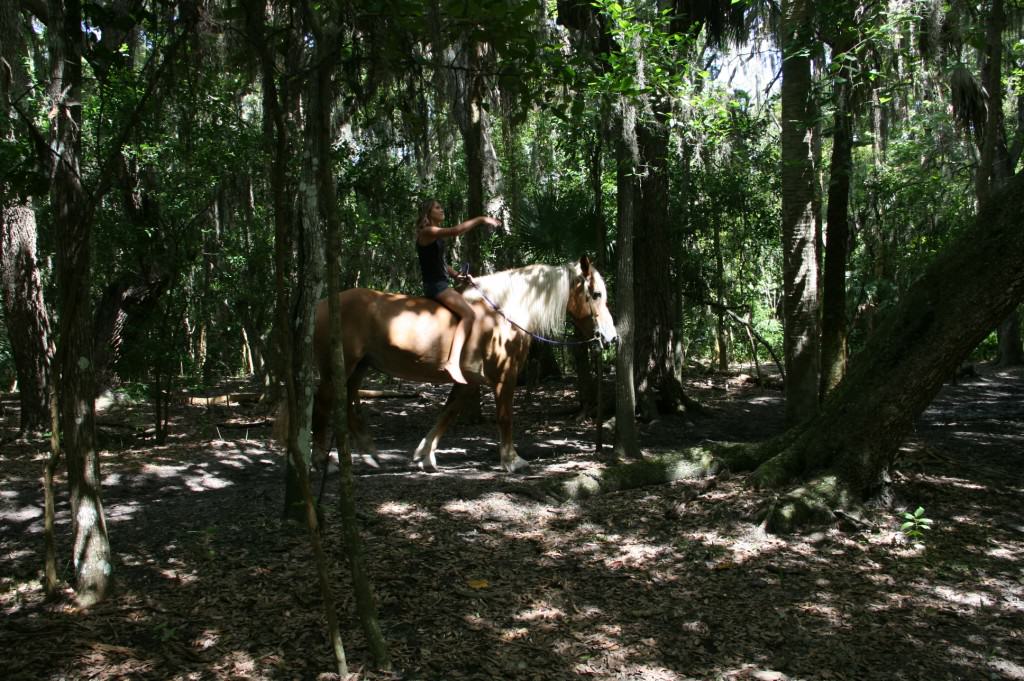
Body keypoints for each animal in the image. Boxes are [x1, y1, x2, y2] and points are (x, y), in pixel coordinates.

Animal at [309, 254, 614, 473]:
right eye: (596, 294)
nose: (610, 337)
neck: (502, 314)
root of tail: (321, 304)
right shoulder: (505, 378)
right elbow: (505, 417)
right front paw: (512, 461)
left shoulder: (468, 382)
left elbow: (447, 414)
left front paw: (425, 456)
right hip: (339, 368)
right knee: (323, 402)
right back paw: (324, 460)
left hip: (359, 368)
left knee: (348, 401)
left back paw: (369, 454)